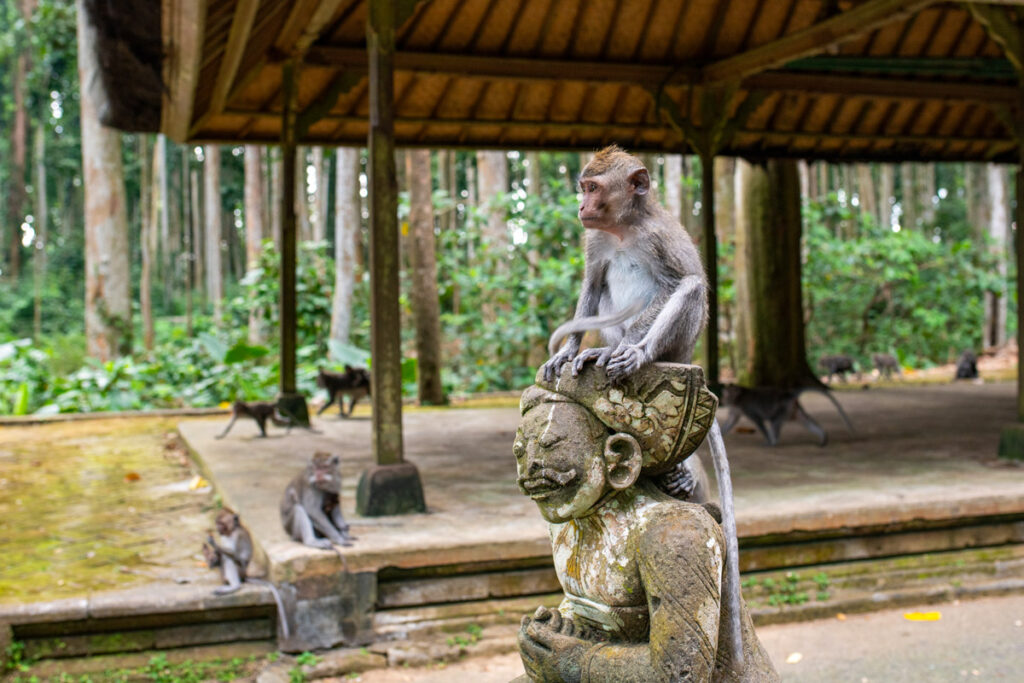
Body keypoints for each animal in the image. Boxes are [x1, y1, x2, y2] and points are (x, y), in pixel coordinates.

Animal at [544, 144, 704, 385]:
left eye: (593, 188)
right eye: (584, 188)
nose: (581, 206)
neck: (622, 228)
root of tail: (687, 357)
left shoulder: (656, 237)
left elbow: (670, 284)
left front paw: (629, 344)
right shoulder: (595, 237)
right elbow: (593, 283)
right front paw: (569, 348)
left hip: (681, 345)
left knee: (692, 285)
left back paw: (638, 352)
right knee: (603, 289)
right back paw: (609, 349)